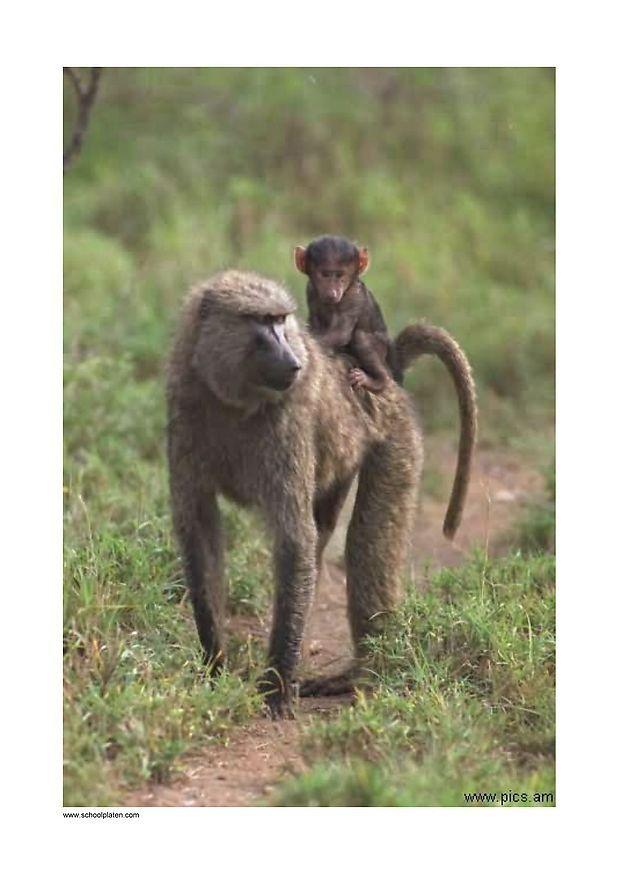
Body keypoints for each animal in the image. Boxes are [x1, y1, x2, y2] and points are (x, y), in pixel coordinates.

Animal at [166, 270, 477, 718]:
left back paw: (361, 674)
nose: (294, 361)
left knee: (364, 544)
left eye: (281, 320)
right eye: (262, 321)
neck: (232, 399)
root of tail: (389, 373)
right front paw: (214, 669)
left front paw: (275, 689)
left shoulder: (287, 426)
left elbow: (294, 540)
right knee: (325, 534)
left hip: (395, 438)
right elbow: (200, 531)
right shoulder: (184, 404)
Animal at [294, 235, 402, 393]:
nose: (333, 291)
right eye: (325, 275)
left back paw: (378, 380)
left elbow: (341, 332)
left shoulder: (353, 297)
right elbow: (314, 321)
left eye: (340, 275)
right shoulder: (311, 290)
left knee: (360, 337)